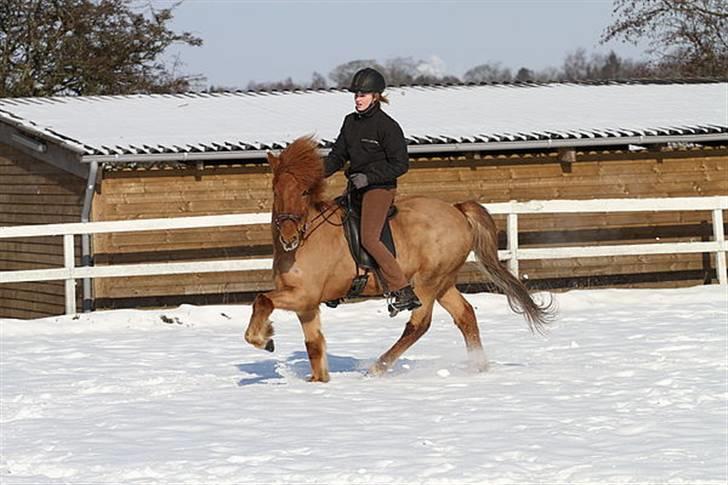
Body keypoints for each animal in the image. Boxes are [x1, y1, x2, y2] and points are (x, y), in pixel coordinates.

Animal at [243, 134, 552, 380]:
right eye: (276, 191)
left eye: (305, 192)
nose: (288, 236)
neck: (307, 240)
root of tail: (456, 210)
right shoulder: (306, 305)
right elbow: (314, 348)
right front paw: (317, 381)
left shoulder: (305, 295)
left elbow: (262, 300)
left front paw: (265, 339)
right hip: (444, 283)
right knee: (465, 315)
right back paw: (479, 368)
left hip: (426, 283)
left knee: (419, 325)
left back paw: (376, 368)